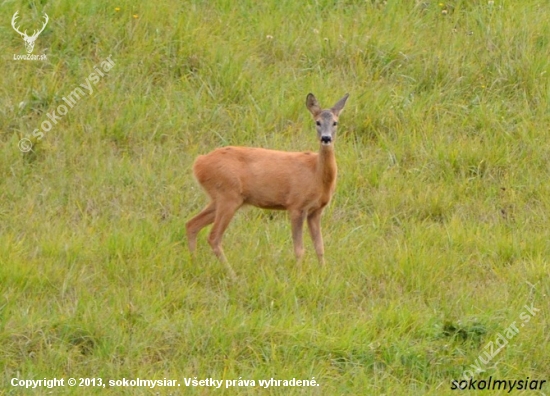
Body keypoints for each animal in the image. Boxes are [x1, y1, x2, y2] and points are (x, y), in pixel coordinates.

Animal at [185, 94, 350, 276]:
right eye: (317, 122)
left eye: (335, 122)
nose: (326, 138)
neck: (316, 175)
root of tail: (198, 164)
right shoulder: (296, 205)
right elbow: (299, 248)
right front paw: (299, 275)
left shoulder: (316, 210)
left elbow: (320, 247)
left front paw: (323, 273)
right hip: (228, 195)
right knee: (213, 236)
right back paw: (232, 275)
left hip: (220, 197)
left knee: (192, 224)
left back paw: (195, 265)